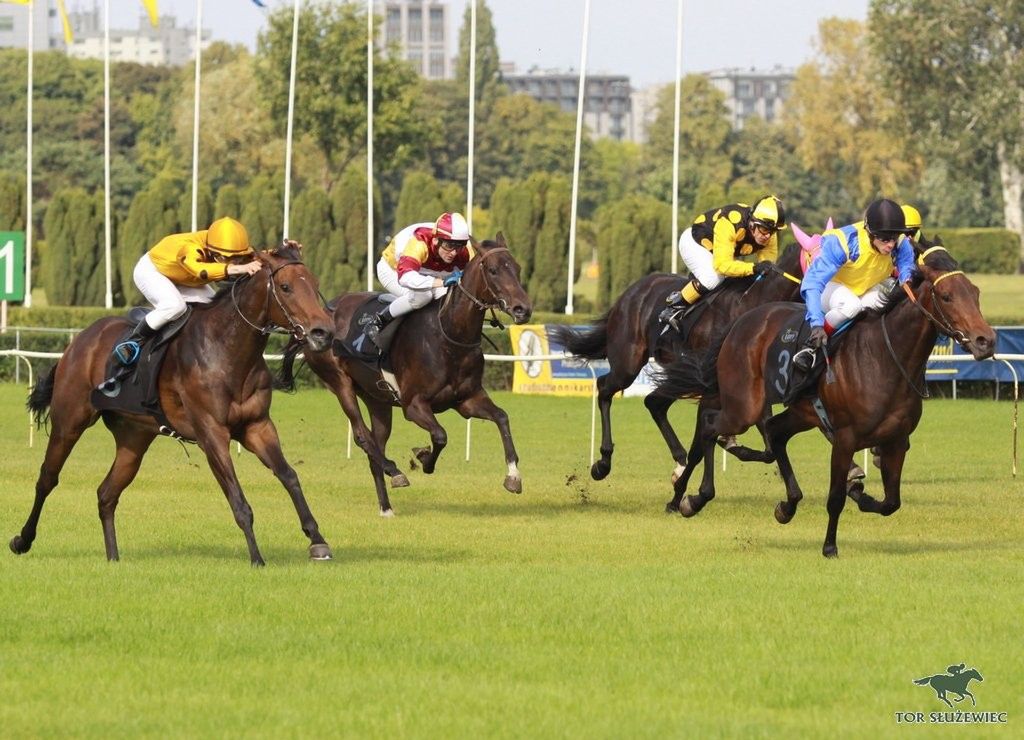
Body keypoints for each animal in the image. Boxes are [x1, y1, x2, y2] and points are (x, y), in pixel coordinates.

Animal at [9, 244, 335, 569]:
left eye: (315, 284)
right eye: (286, 287)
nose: (323, 333)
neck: (226, 349)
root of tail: (80, 340)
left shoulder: (257, 426)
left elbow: (289, 476)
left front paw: (317, 541)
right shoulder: (211, 433)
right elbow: (238, 499)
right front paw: (256, 558)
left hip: (134, 438)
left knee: (106, 493)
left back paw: (113, 557)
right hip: (70, 421)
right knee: (47, 478)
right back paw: (22, 540)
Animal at [276, 235, 532, 515]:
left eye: (517, 268)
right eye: (493, 270)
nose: (523, 309)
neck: (449, 336)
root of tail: (317, 317)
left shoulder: (467, 399)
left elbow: (502, 418)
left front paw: (513, 476)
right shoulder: (414, 405)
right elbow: (440, 435)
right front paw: (424, 457)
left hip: (377, 399)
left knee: (375, 445)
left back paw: (386, 506)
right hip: (340, 383)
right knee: (362, 436)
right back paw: (395, 471)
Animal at [548, 243, 802, 483]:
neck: (752, 303)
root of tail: (630, 292)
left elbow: (767, 443)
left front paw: (730, 443)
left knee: (654, 403)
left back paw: (680, 461)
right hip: (628, 363)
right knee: (605, 387)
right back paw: (603, 462)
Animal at [655, 240, 991, 556]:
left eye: (975, 293)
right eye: (946, 296)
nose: (985, 340)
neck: (885, 359)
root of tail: (740, 322)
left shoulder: (897, 441)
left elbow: (890, 503)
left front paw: (860, 494)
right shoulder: (845, 438)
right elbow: (835, 499)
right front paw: (830, 547)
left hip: (801, 413)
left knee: (773, 432)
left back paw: (785, 505)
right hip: (744, 406)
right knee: (711, 425)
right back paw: (694, 496)